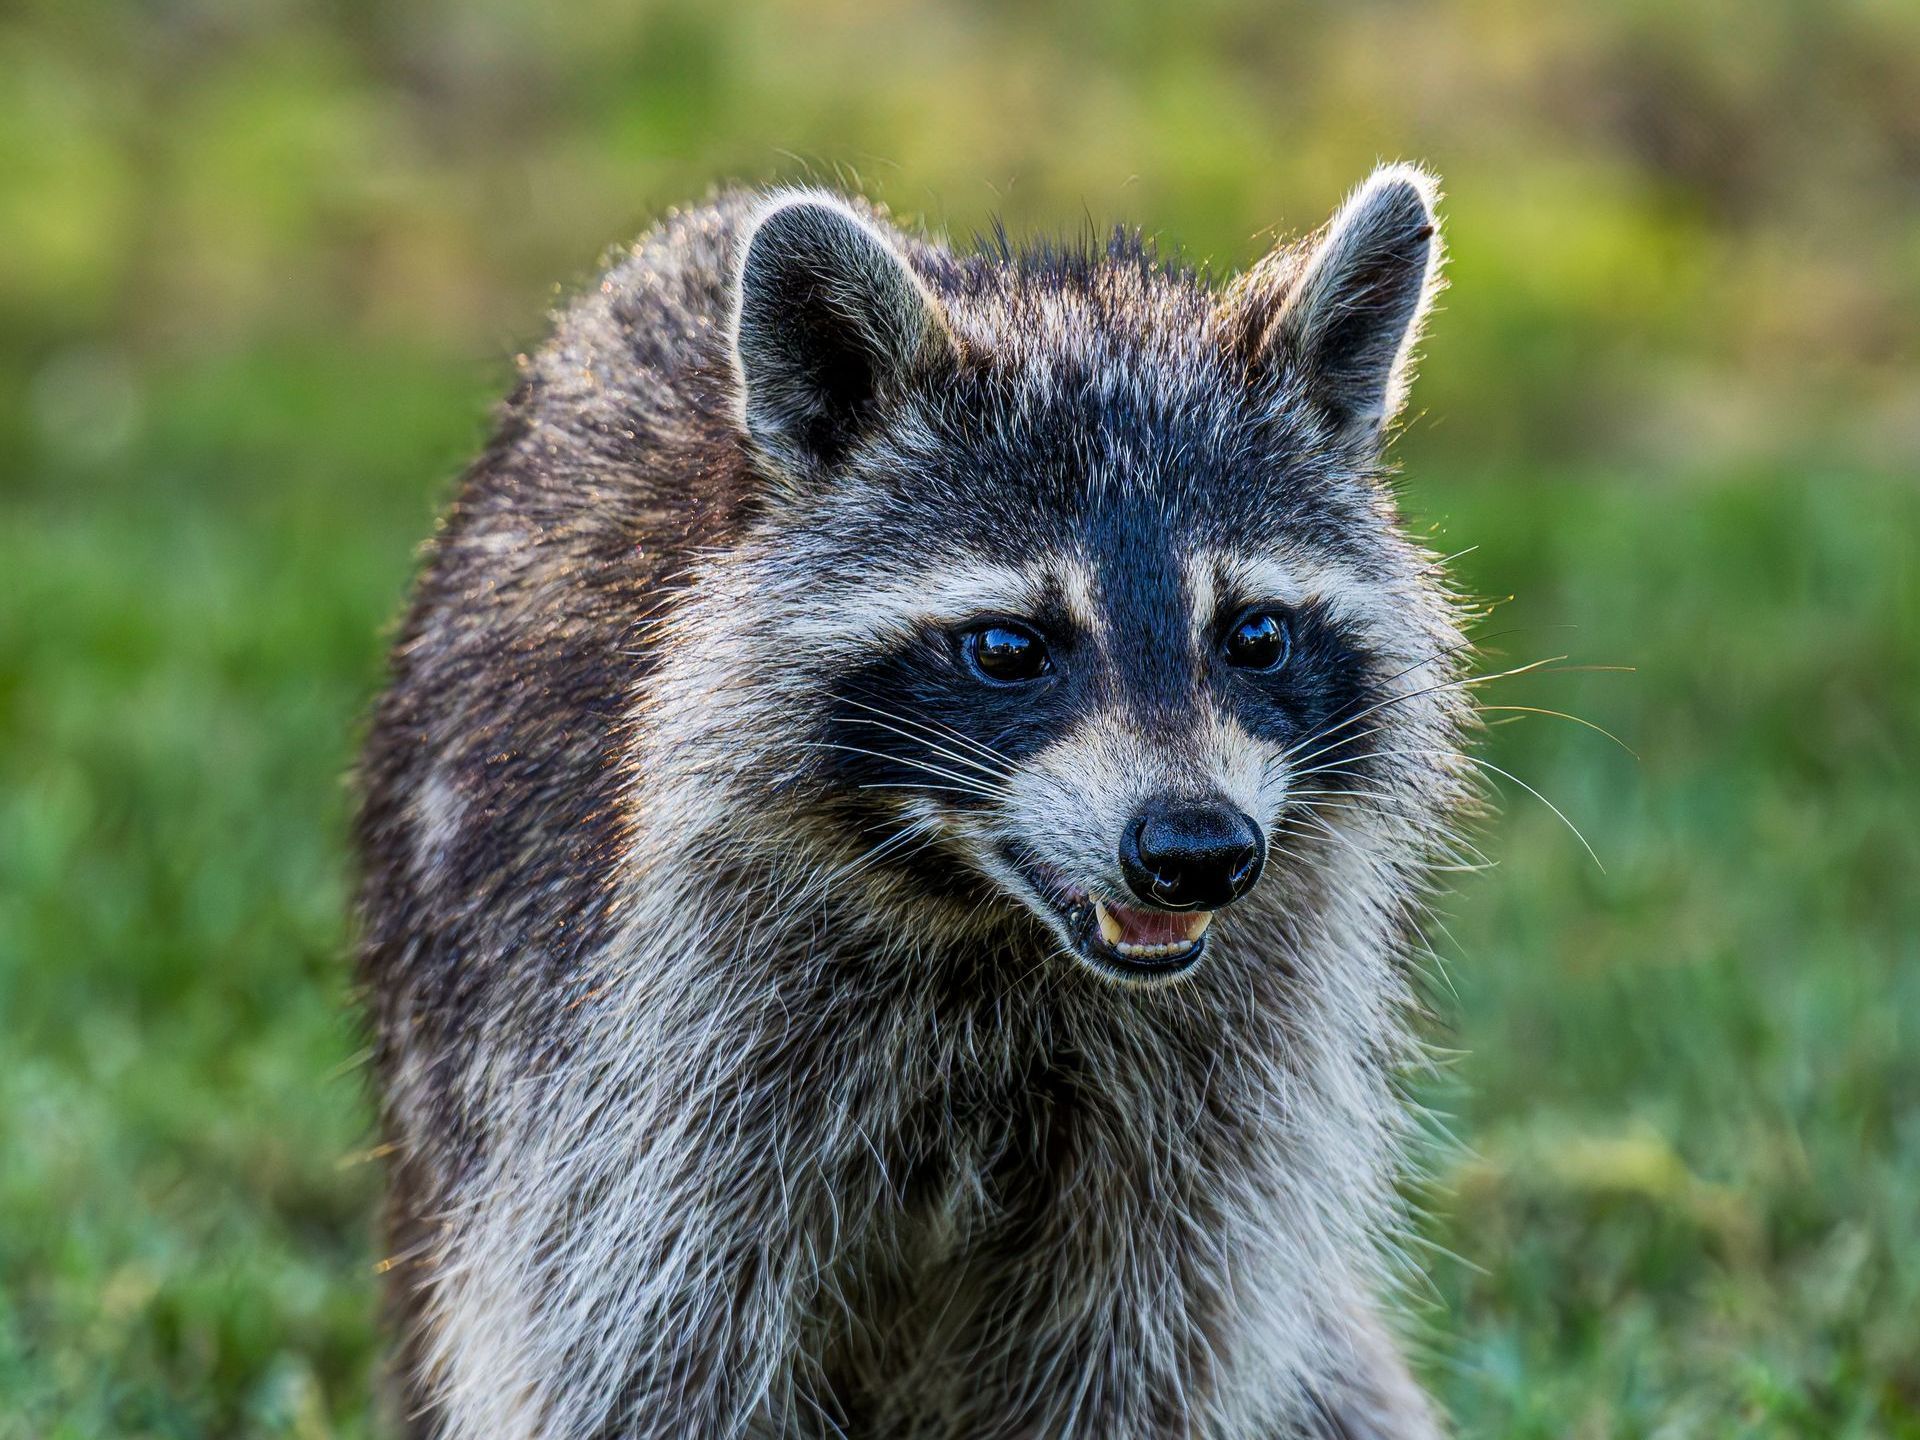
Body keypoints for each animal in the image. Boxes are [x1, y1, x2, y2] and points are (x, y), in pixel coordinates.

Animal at [357, 163, 1466, 1436]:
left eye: (1257, 636)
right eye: (1008, 647)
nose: (1196, 851)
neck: (993, 921)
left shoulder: (1223, 1081)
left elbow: (1140, 1351)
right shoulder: (635, 1053)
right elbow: (640, 1357)